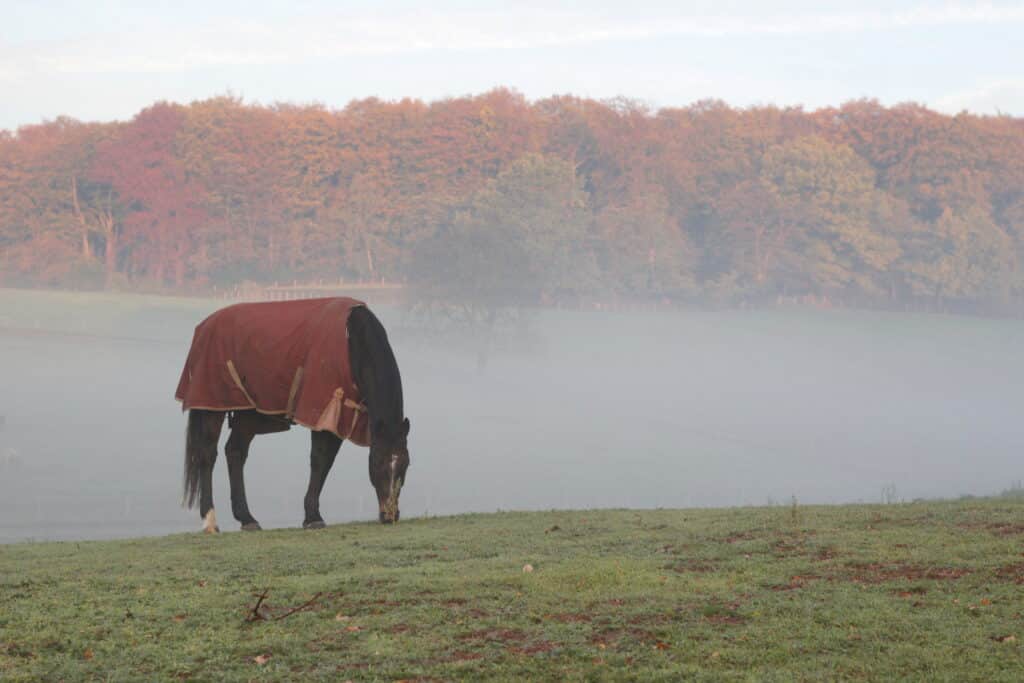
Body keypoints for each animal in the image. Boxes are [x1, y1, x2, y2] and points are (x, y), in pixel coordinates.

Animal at [176, 298, 410, 532]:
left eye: (405, 464)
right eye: (378, 463)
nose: (390, 515)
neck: (351, 339)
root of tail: (205, 326)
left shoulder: (339, 417)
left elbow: (326, 461)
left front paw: (312, 514)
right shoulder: (323, 410)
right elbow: (319, 460)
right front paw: (313, 517)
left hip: (248, 412)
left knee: (235, 452)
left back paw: (247, 518)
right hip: (212, 404)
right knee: (207, 455)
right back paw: (210, 520)